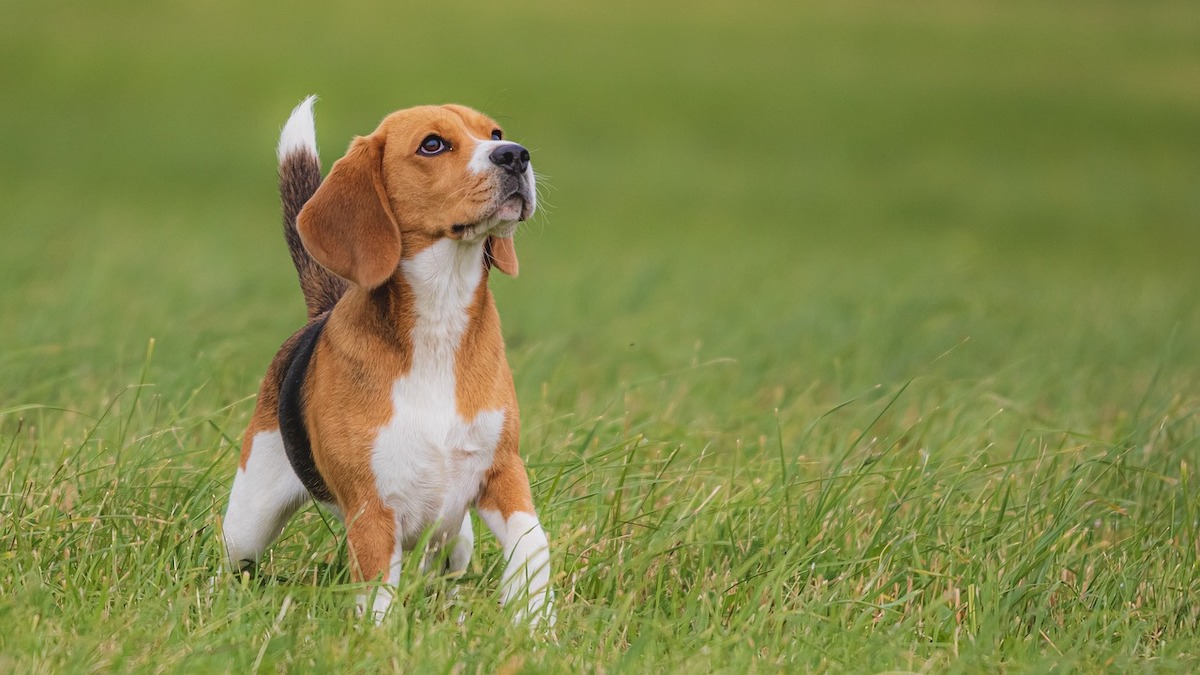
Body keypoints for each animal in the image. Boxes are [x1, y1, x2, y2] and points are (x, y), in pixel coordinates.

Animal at [219, 97, 552, 624]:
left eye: (495, 132)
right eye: (432, 144)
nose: (515, 155)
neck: (439, 315)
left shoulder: (501, 470)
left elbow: (533, 544)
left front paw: (532, 621)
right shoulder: (373, 510)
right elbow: (378, 595)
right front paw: (381, 636)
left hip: (454, 536)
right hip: (249, 521)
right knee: (232, 559)